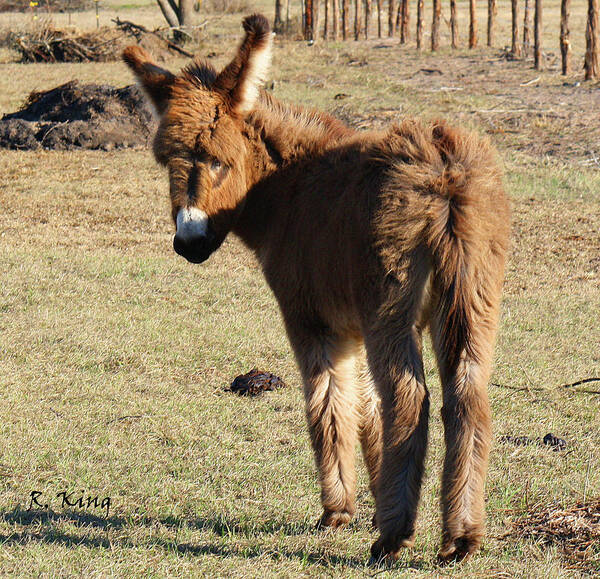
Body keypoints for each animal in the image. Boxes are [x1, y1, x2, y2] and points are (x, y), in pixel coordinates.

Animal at [123, 13, 510, 564]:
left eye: (218, 160)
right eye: (166, 162)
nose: (189, 242)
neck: (287, 188)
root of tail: (444, 167)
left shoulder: (312, 320)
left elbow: (328, 406)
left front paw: (339, 511)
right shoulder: (352, 325)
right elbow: (365, 412)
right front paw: (374, 496)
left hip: (391, 305)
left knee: (409, 400)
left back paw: (393, 537)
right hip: (471, 299)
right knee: (468, 399)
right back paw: (460, 537)